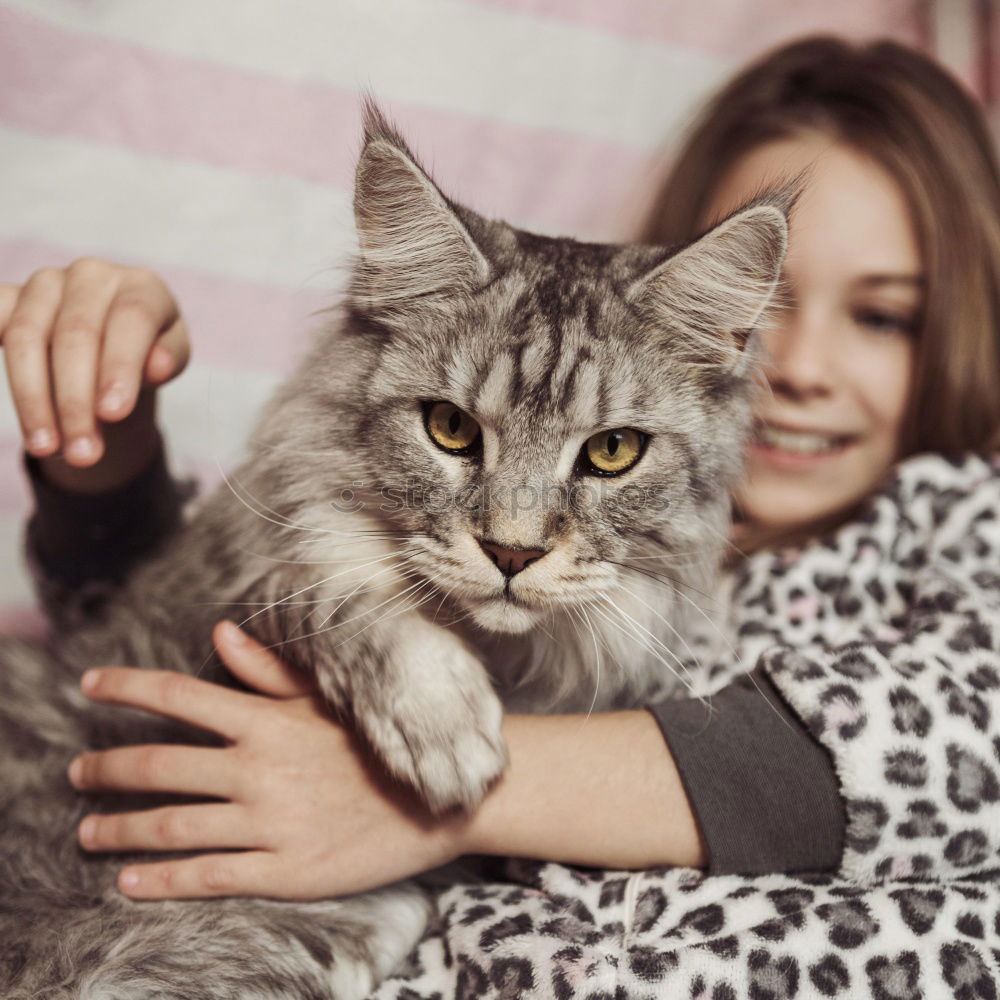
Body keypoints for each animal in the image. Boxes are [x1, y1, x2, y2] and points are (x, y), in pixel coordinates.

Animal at [3, 103, 792, 1000]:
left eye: (613, 452)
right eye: (449, 428)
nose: (511, 553)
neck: (504, 660)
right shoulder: (242, 588)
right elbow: (338, 592)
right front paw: (445, 736)